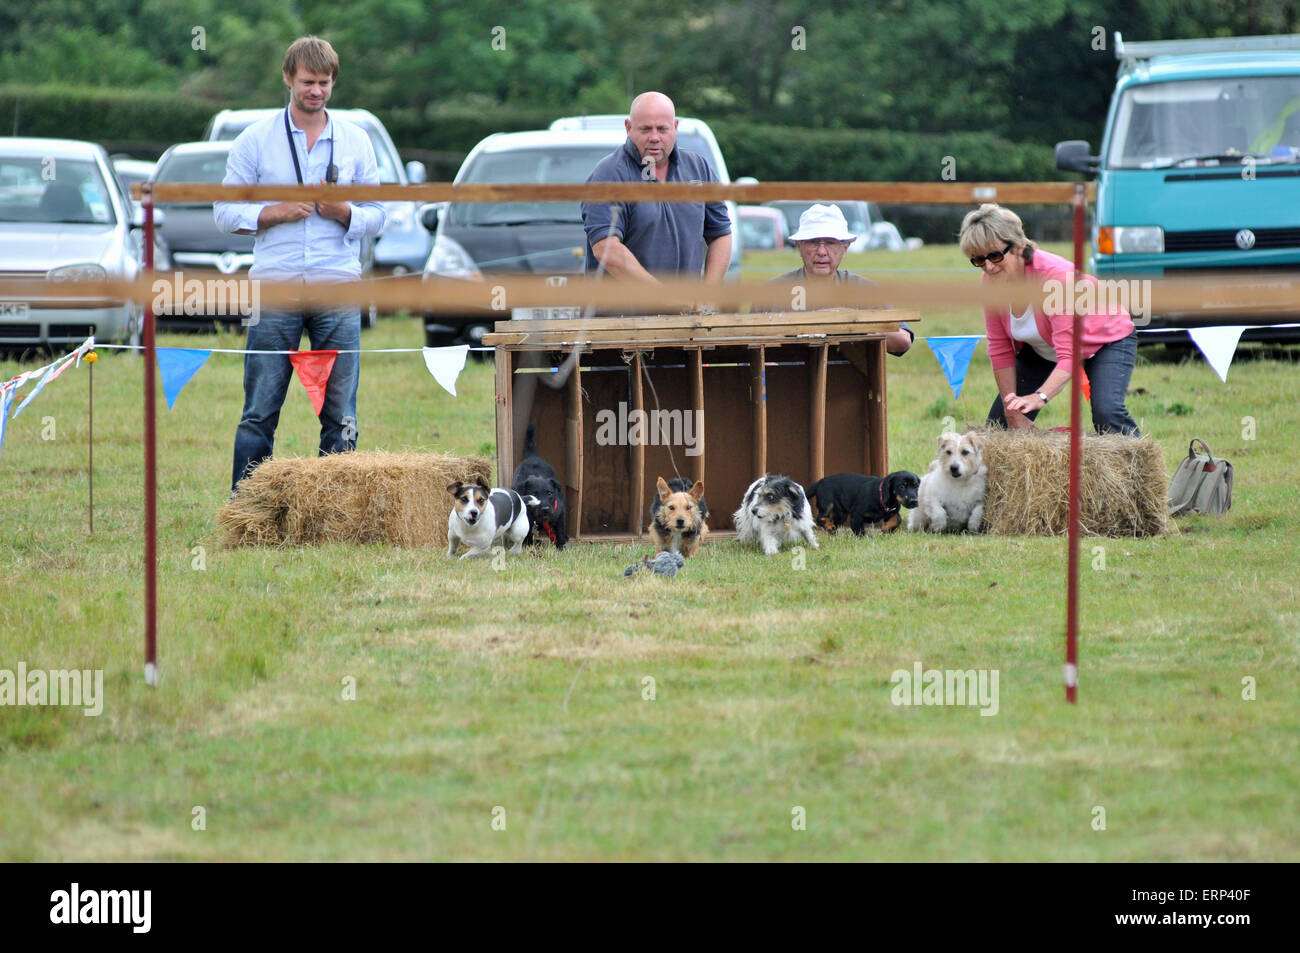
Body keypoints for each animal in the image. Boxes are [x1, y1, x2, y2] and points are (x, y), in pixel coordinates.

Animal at [509, 423, 566, 551]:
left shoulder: (560, 513)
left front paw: (561, 545)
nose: (545, 509)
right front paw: (529, 545)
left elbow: (560, 530)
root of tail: (532, 457)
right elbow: (527, 533)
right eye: (534, 494)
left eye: (549, 493)